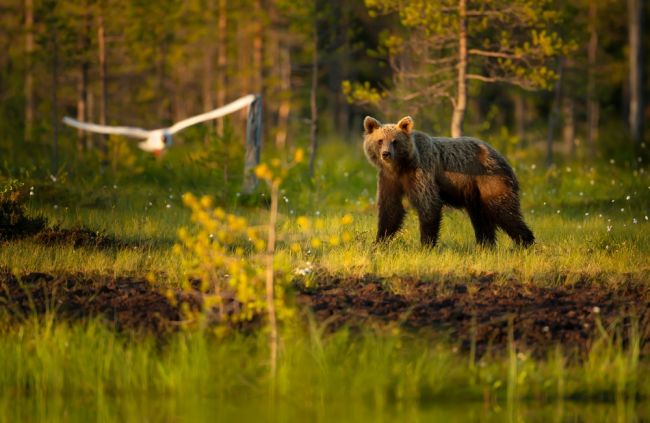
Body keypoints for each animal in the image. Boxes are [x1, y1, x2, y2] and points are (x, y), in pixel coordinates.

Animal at [360, 116, 532, 248]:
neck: (400, 167)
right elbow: (390, 209)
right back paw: (485, 246)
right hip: (475, 194)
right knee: (481, 218)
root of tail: (501, 156)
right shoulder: (390, 179)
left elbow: (428, 204)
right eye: (380, 140)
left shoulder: (421, 173)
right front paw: (378, 242)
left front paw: (426, 245)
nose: (386, 154)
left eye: (395, 141)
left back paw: (526, 243)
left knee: (504, 212)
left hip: (491, 180)